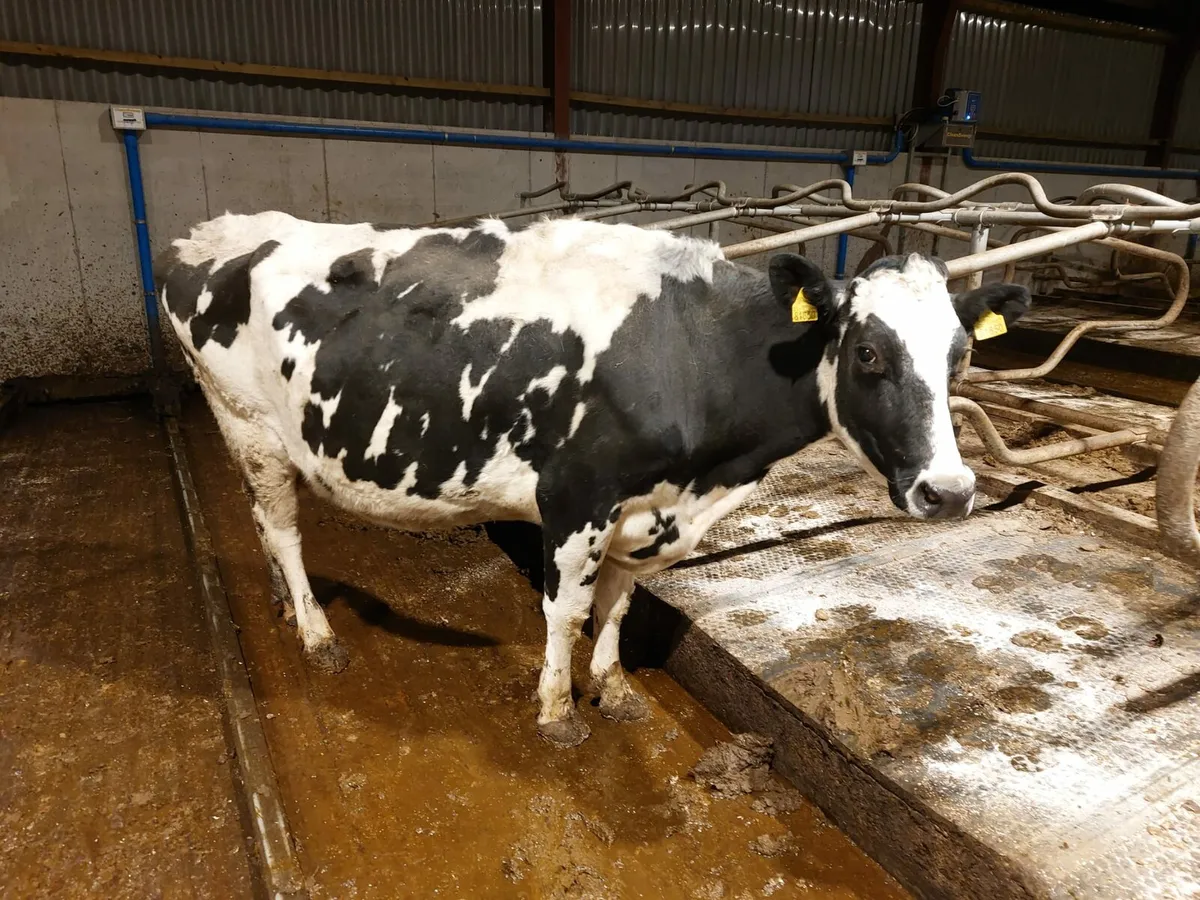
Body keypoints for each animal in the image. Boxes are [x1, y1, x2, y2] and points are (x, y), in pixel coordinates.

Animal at [155, 212, 1030, 747]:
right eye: (869, 353)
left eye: (962, 357)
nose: (951, 492)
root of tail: (211, 231)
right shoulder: (576, 494)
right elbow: (568, 610)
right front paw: (556, 712)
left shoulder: (650, 507)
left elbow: (619, 602)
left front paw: (615, 688)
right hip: (247, 420)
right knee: (283, 527)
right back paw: (315, 632)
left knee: (261, 518)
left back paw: (280, 602)